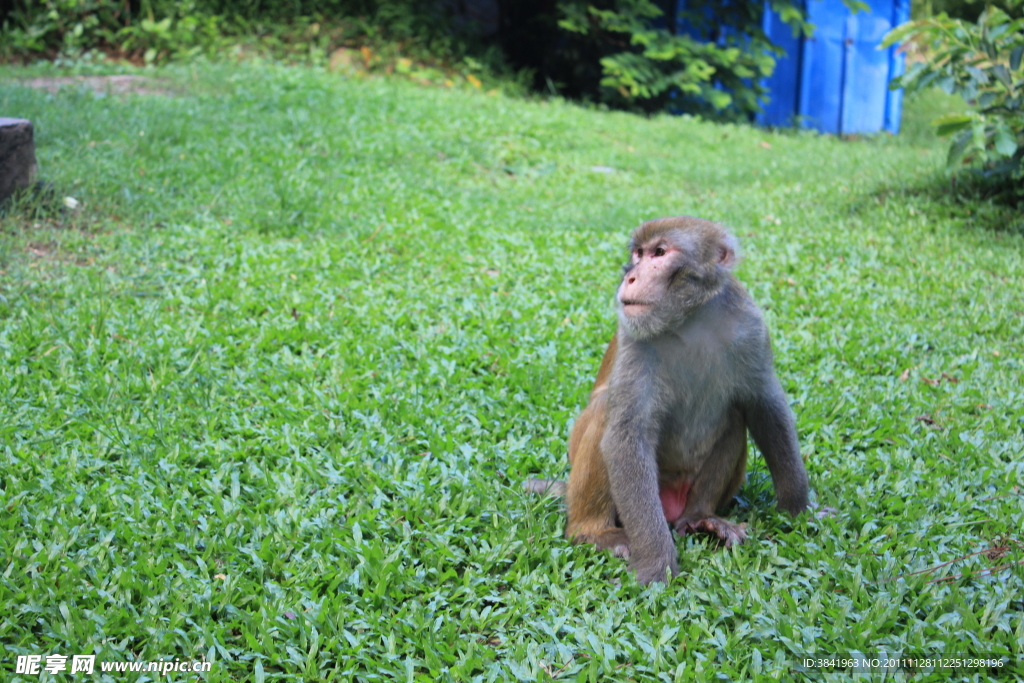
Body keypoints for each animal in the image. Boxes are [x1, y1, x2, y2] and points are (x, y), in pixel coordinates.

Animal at [528, 216, 806, 585]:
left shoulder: (750, 325)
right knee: (605, 413)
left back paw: (700, 516)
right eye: (638, 254)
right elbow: (626, 436)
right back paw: (592, 530)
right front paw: (655, 566)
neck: (689, 321)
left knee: (735, 415)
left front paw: (801, 508)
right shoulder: (634, 339)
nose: (630, 276)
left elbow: (765, 408)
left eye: (659, 253)